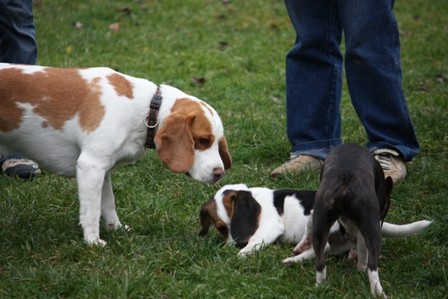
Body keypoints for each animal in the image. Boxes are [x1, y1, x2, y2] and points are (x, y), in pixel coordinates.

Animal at [0, 63, 231, 246]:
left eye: (218, 142)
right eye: (203, 140)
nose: (220, 173)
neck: (146, 109)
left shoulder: (104, 171)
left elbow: (108, 203)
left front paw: (116, 228)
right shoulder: (91, 166)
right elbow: (92, 211)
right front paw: (93, 242)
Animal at [312, 144, 392, 298]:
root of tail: (345, 177)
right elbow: (362, 248)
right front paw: (360, 267)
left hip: (320, 223)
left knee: (320, 261)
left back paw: (320, 286)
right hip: (371, 225)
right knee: (372, 265)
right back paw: (378, 292)